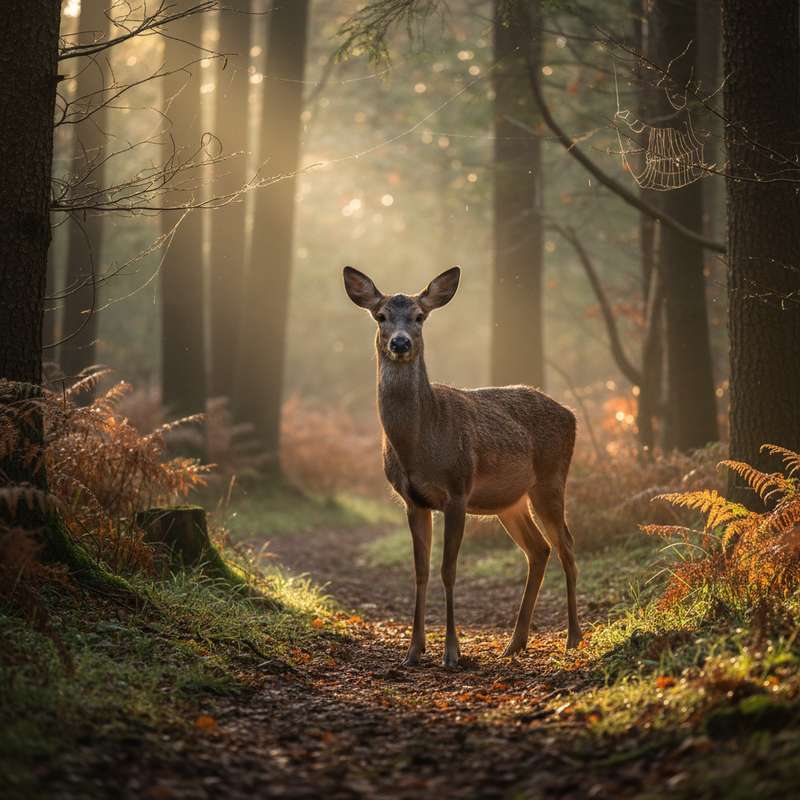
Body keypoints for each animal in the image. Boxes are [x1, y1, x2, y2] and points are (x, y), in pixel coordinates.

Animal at [343, 265, 581, 667]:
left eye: (420, 317)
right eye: (381, 316)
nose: (401, 344)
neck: (418, 444)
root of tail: (572, 415)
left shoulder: (457, 491)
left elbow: (448, 570)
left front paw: (452, 652)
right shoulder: (413, 500)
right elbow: (421, 571)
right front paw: (413, 650)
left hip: (551, 479)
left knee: (566, 544)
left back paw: (573, 638)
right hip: (509, 501)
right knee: (538, 549)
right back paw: (515, 643)